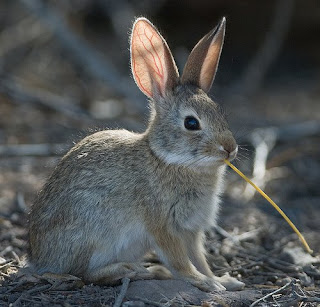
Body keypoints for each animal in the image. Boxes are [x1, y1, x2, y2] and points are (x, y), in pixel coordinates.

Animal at [30, 17, 245, 294]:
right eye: (191, 123)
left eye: (220, 113)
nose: (230, 148)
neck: (169, 159)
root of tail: (39, 259)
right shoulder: (163, 225)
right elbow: (181, 261)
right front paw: (206, 283)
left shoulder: (191, 231)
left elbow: (199, 258)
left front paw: (223, 280)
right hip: (96, 233)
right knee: (85, 274)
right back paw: (136, 270)